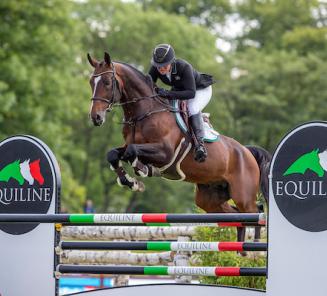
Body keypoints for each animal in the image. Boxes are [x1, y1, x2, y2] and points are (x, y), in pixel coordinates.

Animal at [87, 52, 272, 242]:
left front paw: (142, 170)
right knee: (237, 217)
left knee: (256, 211)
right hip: (210, 198)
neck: (144, 113)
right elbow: (113, 154)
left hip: (243, 196)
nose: (96, 117)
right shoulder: (130, 146)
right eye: (91, 82)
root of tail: (246, 151)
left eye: (107, 82)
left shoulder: (165, 153)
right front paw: (131, 182)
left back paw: (254, 244)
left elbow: (132, 152)